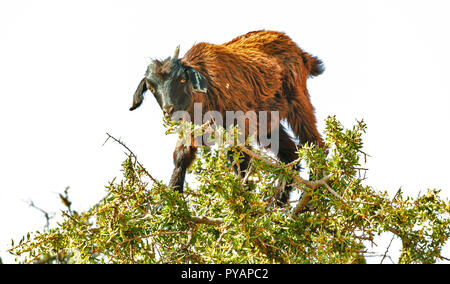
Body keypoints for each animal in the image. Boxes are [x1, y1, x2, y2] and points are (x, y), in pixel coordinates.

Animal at [129, 30, 324, 205]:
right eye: (151, 88)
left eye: (182, 79)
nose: (169, 110)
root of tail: (302, 53)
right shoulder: (192, 127)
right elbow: (181, 157)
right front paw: (169, 204)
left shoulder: (237, 124)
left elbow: (239, 159)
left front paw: (244, 200)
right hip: (268, 121)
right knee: (291, 154)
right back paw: (277, 201)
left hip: (297, 101)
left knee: (315, 143)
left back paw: (312, 194)